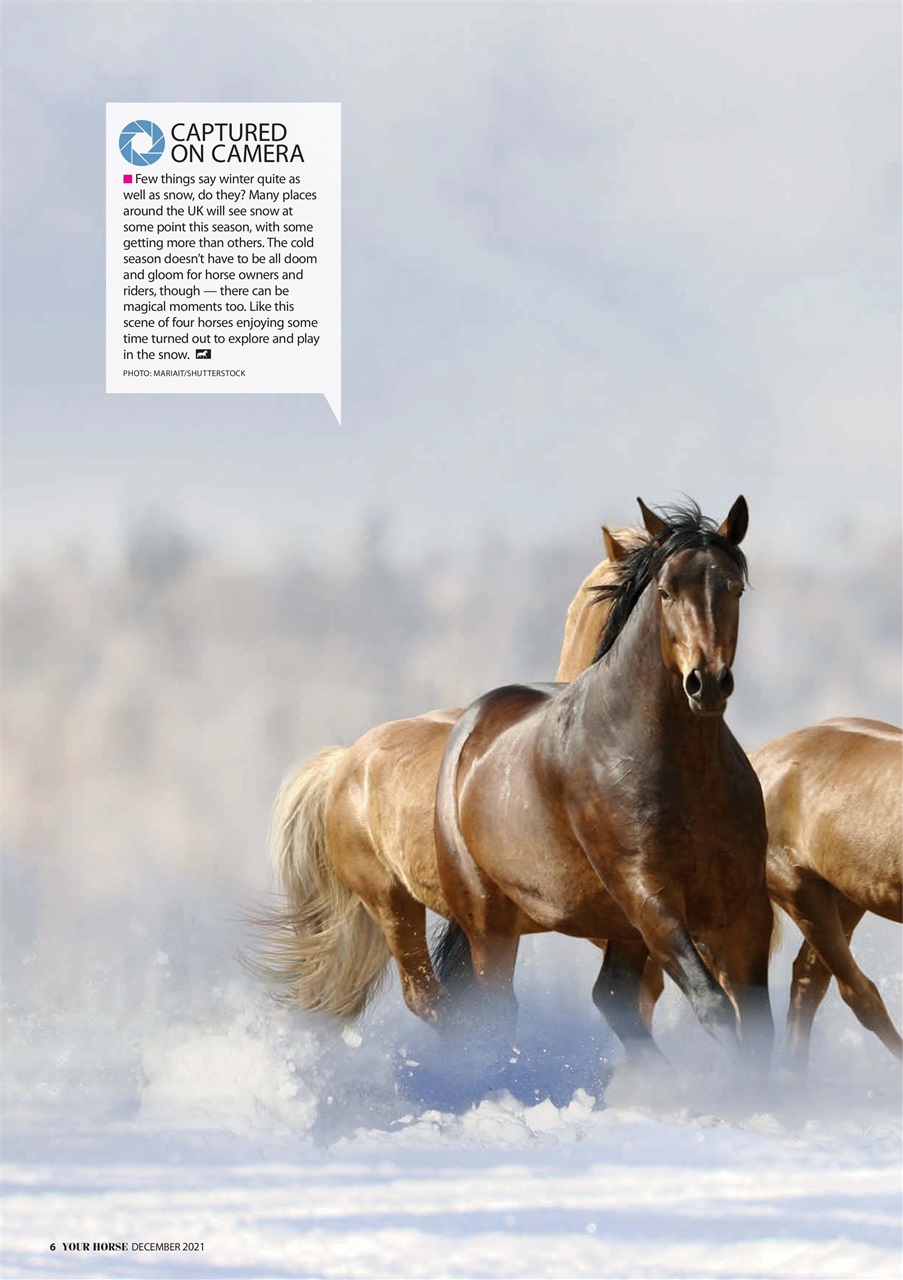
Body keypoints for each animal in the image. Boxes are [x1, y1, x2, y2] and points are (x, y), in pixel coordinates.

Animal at [434, 497, 775, 1061]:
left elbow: (758, 1024)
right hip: (490, 922)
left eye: (734, 588)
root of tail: (471, 727)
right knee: (497, 1012)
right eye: (666, 590)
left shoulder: (743, 908)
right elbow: (714, 1006)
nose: (706, 683)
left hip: (620, 929)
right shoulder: (650, 898)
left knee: (612, 995)